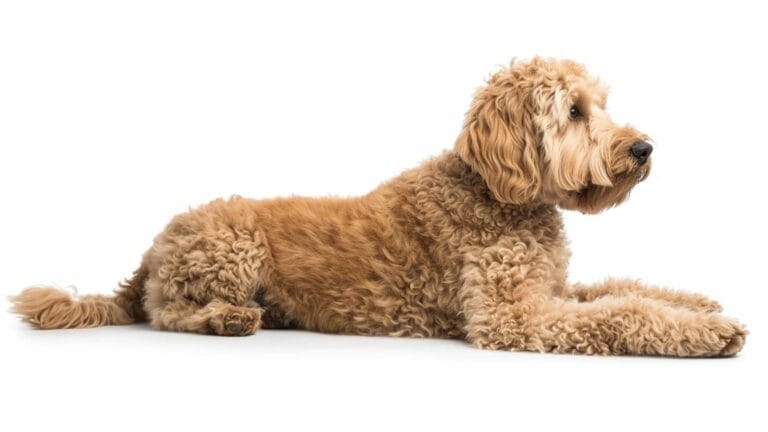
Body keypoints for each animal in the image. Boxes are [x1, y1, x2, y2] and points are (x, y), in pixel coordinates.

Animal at [10, 57, 744, 356]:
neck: (496, 193)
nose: (645, 149)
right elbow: (622, 313)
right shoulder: (515, 314)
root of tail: (152, 246)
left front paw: (700, 304)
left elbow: (623, 288)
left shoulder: (553, 288)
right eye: (574, 111)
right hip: (232, 246)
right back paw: (228, 319)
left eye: (603, 105)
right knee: (164, 313)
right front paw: (710, 333)